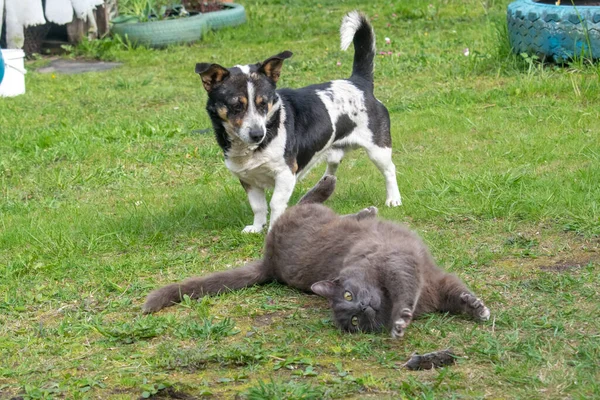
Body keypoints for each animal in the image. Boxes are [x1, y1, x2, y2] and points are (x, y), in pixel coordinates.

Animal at [143, 177, 490, 340]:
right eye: (353, 320)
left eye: (348, 294)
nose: (361, 306)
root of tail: (268, 262)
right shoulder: (418, 276)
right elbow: (422, 293)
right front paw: (400, 322)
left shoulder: (403, 263)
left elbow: (442, 289)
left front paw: (476, 307)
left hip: (309, 220)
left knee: (302, 203)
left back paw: (340, 192)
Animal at [197, 10, 400, 233]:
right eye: (236, 106)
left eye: (263, 103)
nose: (258, 134)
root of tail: (358, 82)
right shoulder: (248, 179)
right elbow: (258, 206)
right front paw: (257, 227)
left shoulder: (285, 174)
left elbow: (275, 204)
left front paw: (273, 228)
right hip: (334, 151)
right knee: (333, 166)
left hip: (378, 149)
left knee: (390, 170)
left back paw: (393, 199)